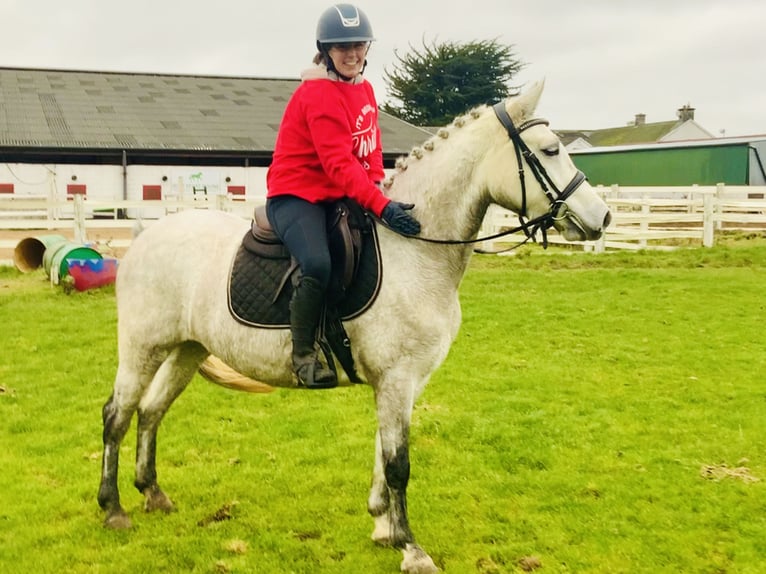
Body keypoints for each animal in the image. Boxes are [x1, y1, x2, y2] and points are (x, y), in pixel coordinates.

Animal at [99, 82, 612, 574]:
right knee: (117, 414)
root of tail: (144, 238)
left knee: (151, 411)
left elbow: (383, 454)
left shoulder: (404, 382)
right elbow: (399, 463)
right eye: (549, 150)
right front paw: (411, 548)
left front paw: (383, 527)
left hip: (186, 348)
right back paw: (113, 509)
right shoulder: (397, 379)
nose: (602, 217)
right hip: (142, 348)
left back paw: (153, 494)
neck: (415, 248)